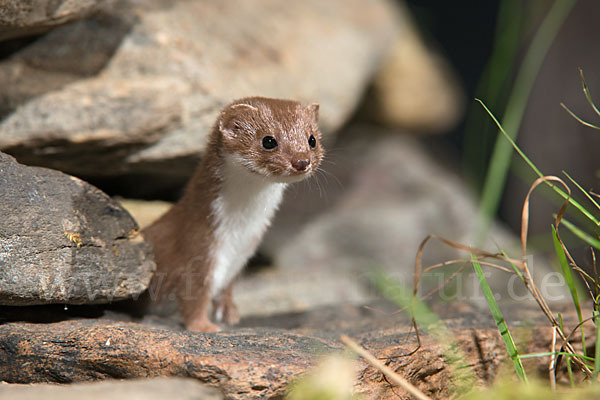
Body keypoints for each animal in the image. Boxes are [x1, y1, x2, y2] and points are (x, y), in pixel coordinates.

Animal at [142, 96, 324, 332]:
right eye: (268, 141)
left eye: (312, 139)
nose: (301, 162)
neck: (237, 233)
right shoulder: (196, 248)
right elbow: (194, 296)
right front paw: (204, 326)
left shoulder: (240, 257)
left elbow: (225, 289)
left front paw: (230, 314)